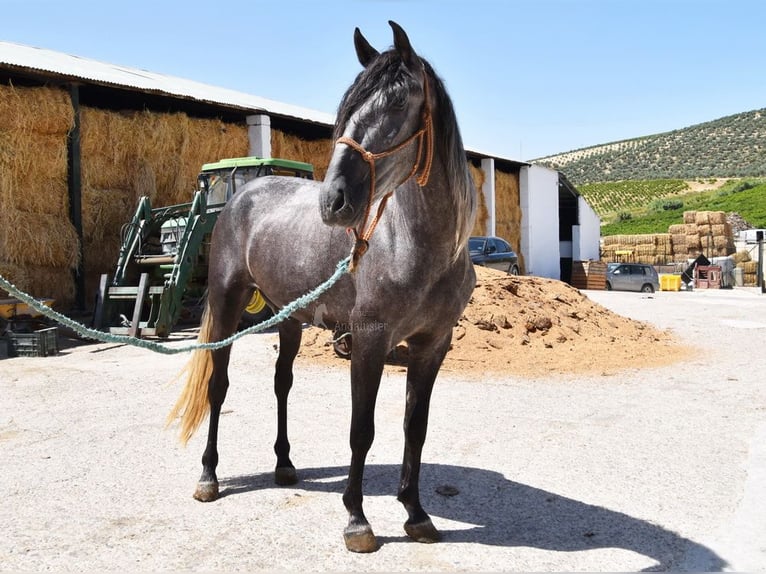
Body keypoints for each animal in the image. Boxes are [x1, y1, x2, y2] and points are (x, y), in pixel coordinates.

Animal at [171, 20, 476, 556]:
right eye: (347, 108)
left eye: (397, 104)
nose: (334, 202)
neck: (419, 247)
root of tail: (245, 194)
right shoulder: (370, 339)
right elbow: (362, 430)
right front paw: (357, 520)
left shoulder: (433, 345)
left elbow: (414, 428)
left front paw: (416, 514)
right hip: (227, 305)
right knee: (218, 386)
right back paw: (208, 477)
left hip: (289, 318)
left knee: (282, 384)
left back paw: (284, 465)